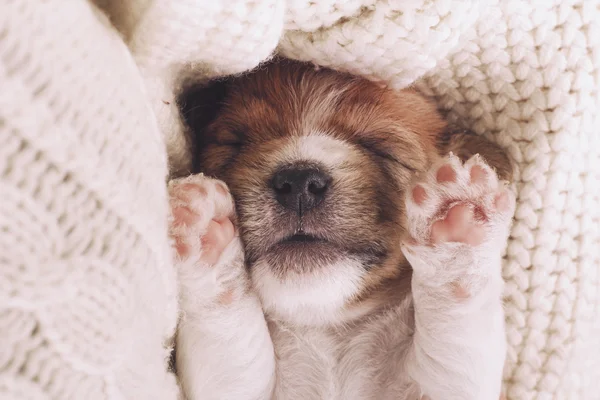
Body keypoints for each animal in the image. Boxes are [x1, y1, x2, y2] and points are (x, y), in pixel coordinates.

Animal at [168, 57, 516, 400]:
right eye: (235, 144)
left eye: (382, 149)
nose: (299, 182)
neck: (328, 328)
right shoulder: (230, 383)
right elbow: (228, 332)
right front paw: (204, 230)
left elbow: (458, 331)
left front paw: (460, 219)